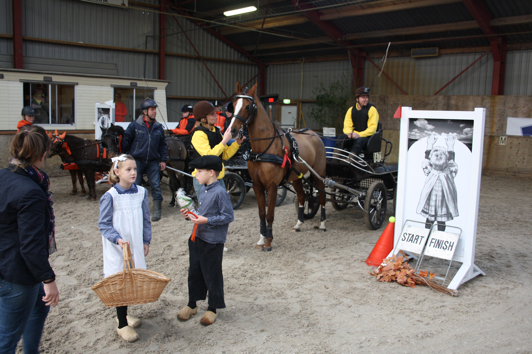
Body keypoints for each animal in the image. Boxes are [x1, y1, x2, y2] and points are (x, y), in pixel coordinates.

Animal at [230, 82, 328, 252]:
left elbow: (270, 214)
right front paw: (261, 239)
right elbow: (261, 213)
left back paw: (322, 224)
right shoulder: (257, 185)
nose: (233, 130)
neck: (263, 149)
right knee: (302, 196)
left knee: (322, 197)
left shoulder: (272, 186)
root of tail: (315, 135)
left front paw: (268, 242)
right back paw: (298, 224)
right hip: (297, 178)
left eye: (248, 106)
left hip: (318, 175)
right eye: (235, 104)